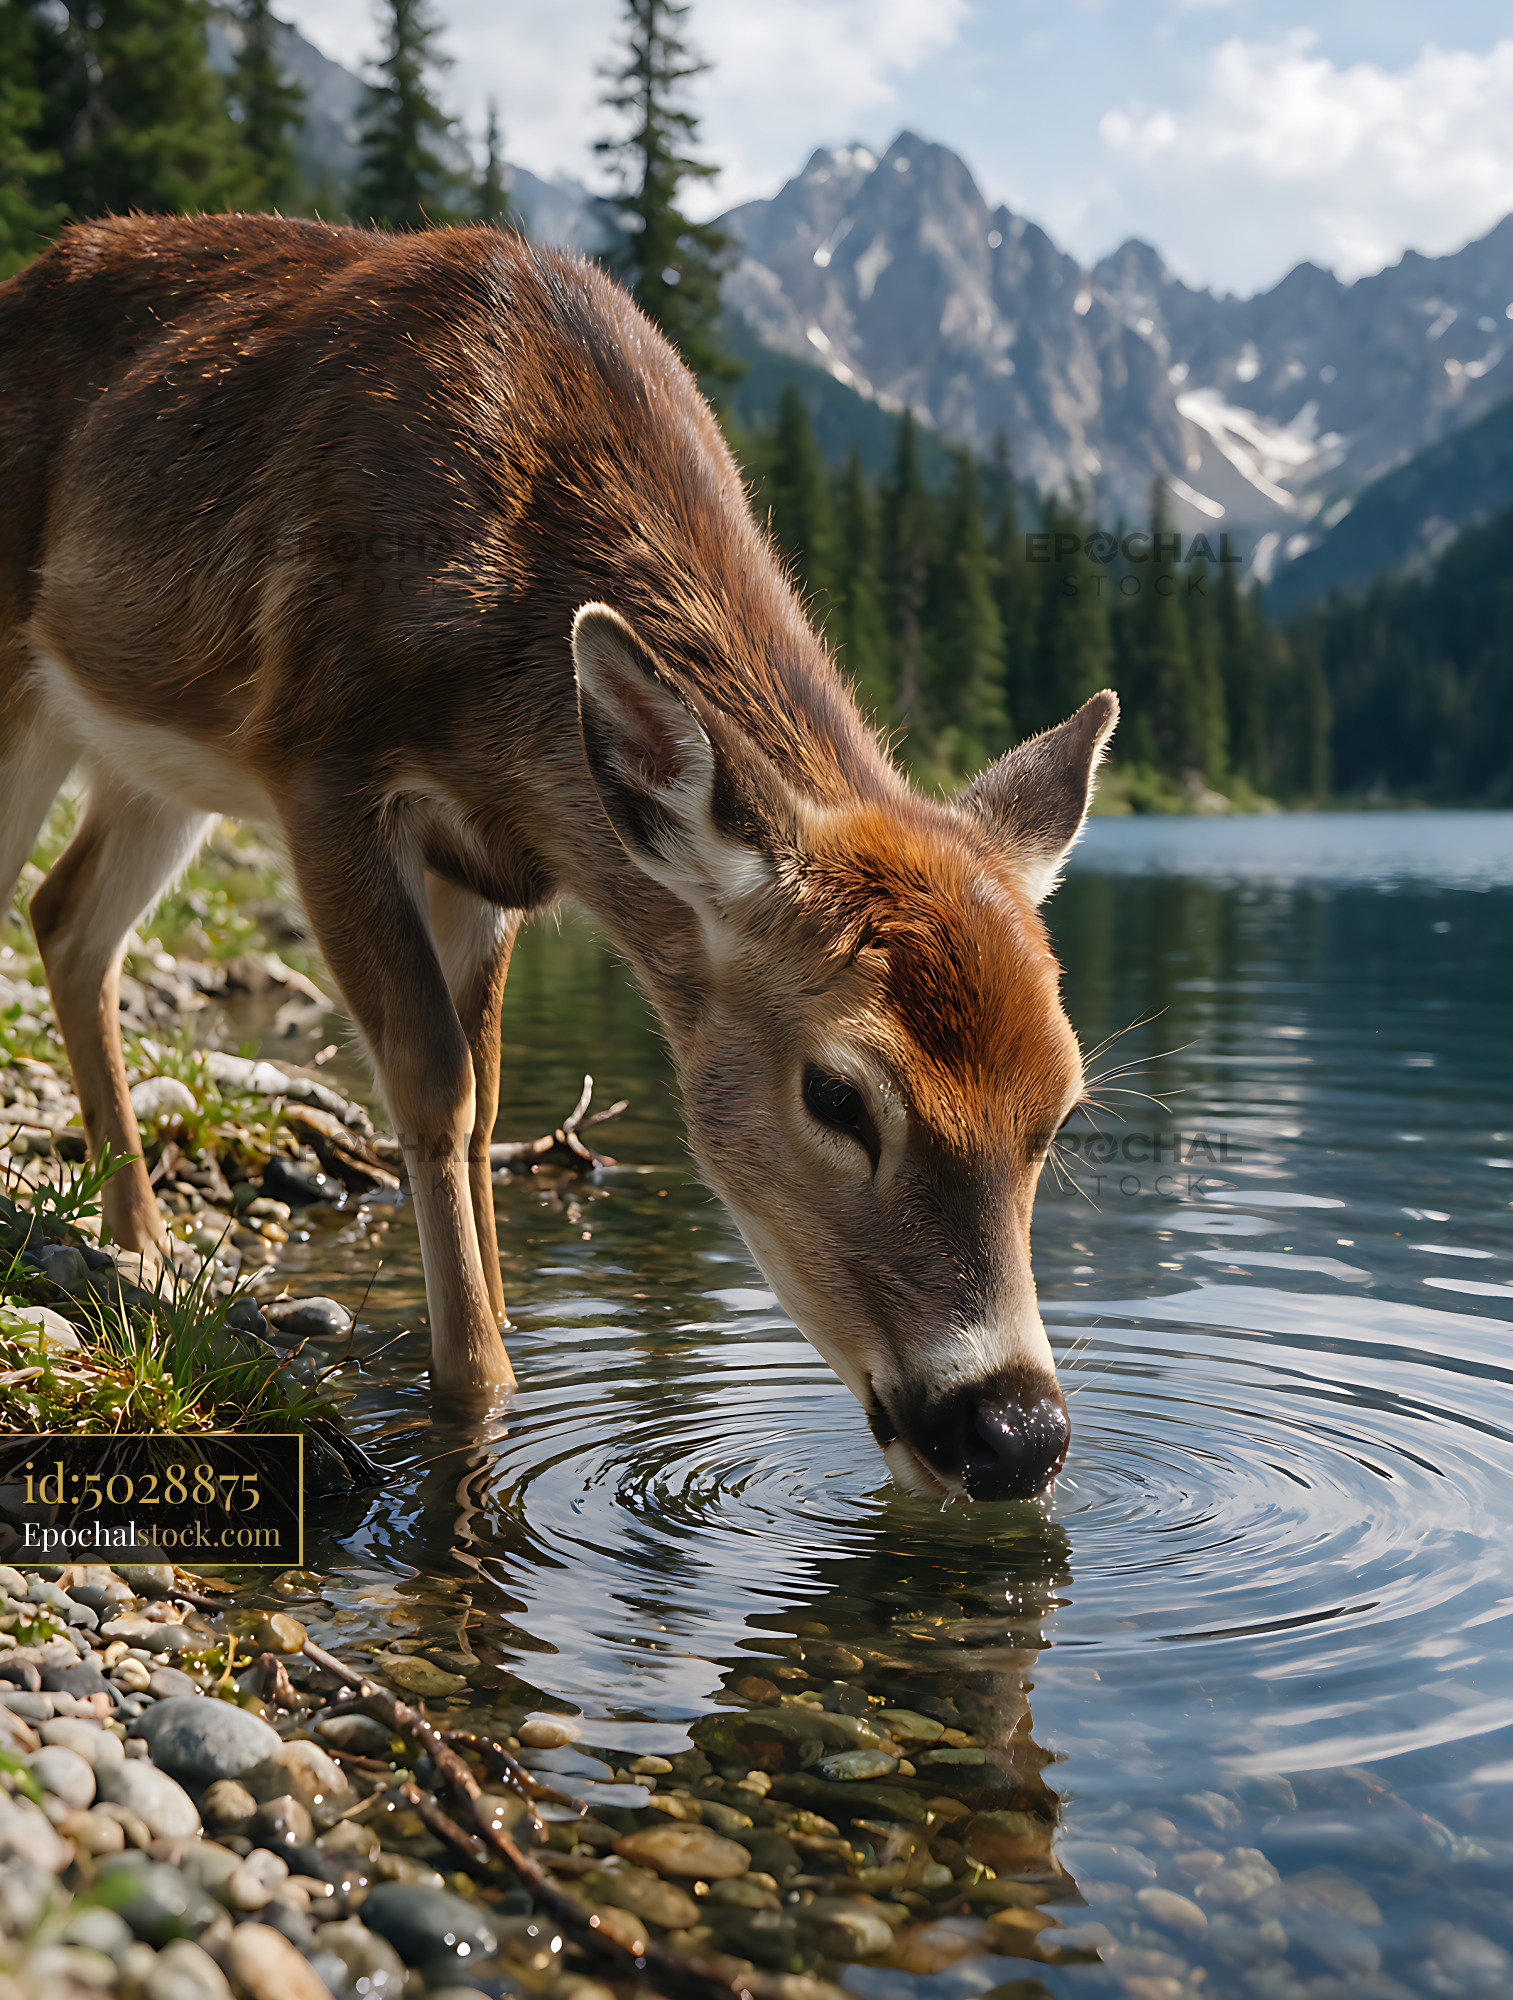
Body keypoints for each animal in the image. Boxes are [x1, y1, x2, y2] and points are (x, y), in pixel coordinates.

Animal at [0, 214, 1116, 1502]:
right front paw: (478, 1392)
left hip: (149, 751)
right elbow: (433, 1083)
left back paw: (141, 1241)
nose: (1014, 1430)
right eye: (838, 1093)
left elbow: (486, 1098)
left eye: (1060, 1108)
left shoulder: (484, 863)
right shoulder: (320, 762)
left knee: (68, 916)